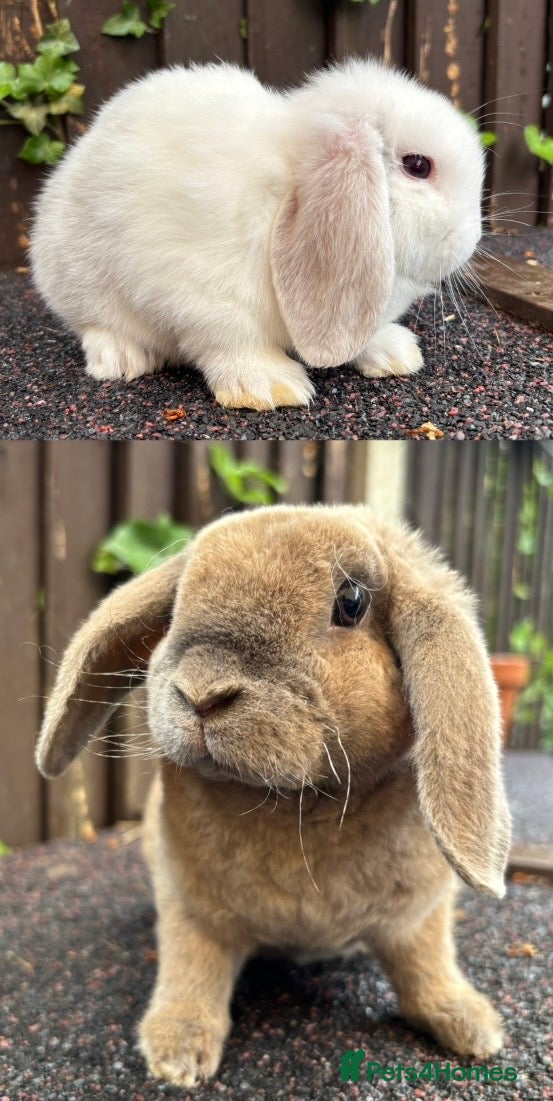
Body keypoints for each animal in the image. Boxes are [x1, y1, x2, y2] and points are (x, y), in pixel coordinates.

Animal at [30, 58, 485, 410]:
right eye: (418, 165)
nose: (472, 238)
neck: (286, 189)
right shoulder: (201, 296)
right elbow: (232, 341)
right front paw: (269, 387)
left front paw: (396, 353)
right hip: (75, 280)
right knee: (93, 324)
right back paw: (121, 358)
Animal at [35, 504, 511, 1088]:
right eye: (176, 603)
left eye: (351, 602)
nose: (202, 693)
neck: (292, 803)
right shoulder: (192, 913)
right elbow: (192, 972)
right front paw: (176, 1052)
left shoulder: (418, 919)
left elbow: (428, 968)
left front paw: (471, 1027)